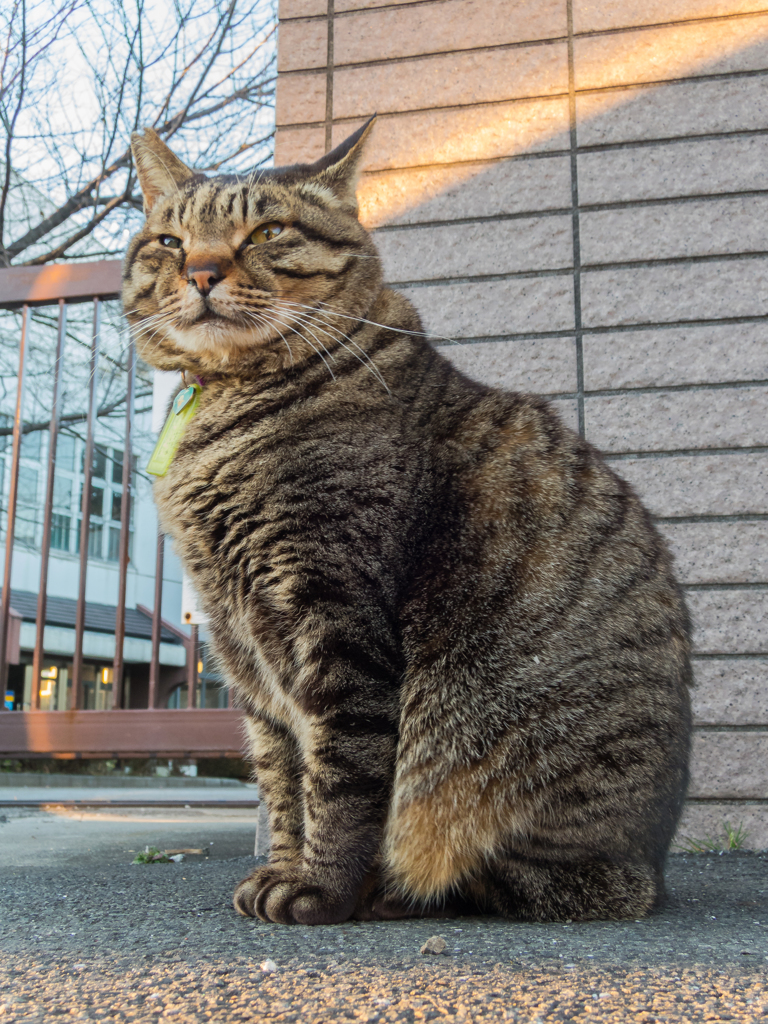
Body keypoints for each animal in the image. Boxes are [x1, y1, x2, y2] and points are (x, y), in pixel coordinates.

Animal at [124, 119, 692, 929]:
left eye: (267, 232)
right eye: (170, 242)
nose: (200, 271)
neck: (227, 405)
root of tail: (656, 862)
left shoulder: (334, 612)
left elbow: (340, 777)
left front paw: (320, 888)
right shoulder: (240, 645)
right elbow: (281, 776)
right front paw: (282, 867)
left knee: (526, 876)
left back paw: (396, 889)